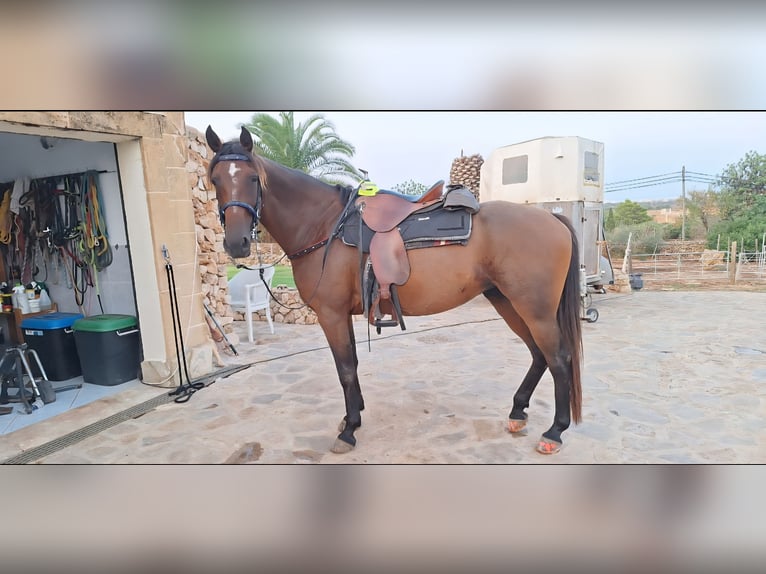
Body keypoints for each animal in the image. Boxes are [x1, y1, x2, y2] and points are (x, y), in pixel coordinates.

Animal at [205, 125, 583, 456]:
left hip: (534, 308)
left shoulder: (331, 314)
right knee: (538, 354)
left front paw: (348, 430)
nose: (237, 243)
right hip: (506, 300)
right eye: (215, 181)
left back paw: (554, 431)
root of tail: (552, 219)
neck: (324, 226)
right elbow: (352, 364)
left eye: (252, 179)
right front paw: (353, 416)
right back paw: (518, 412)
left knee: (558, 358)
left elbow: (345, 369)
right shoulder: (342, 314)